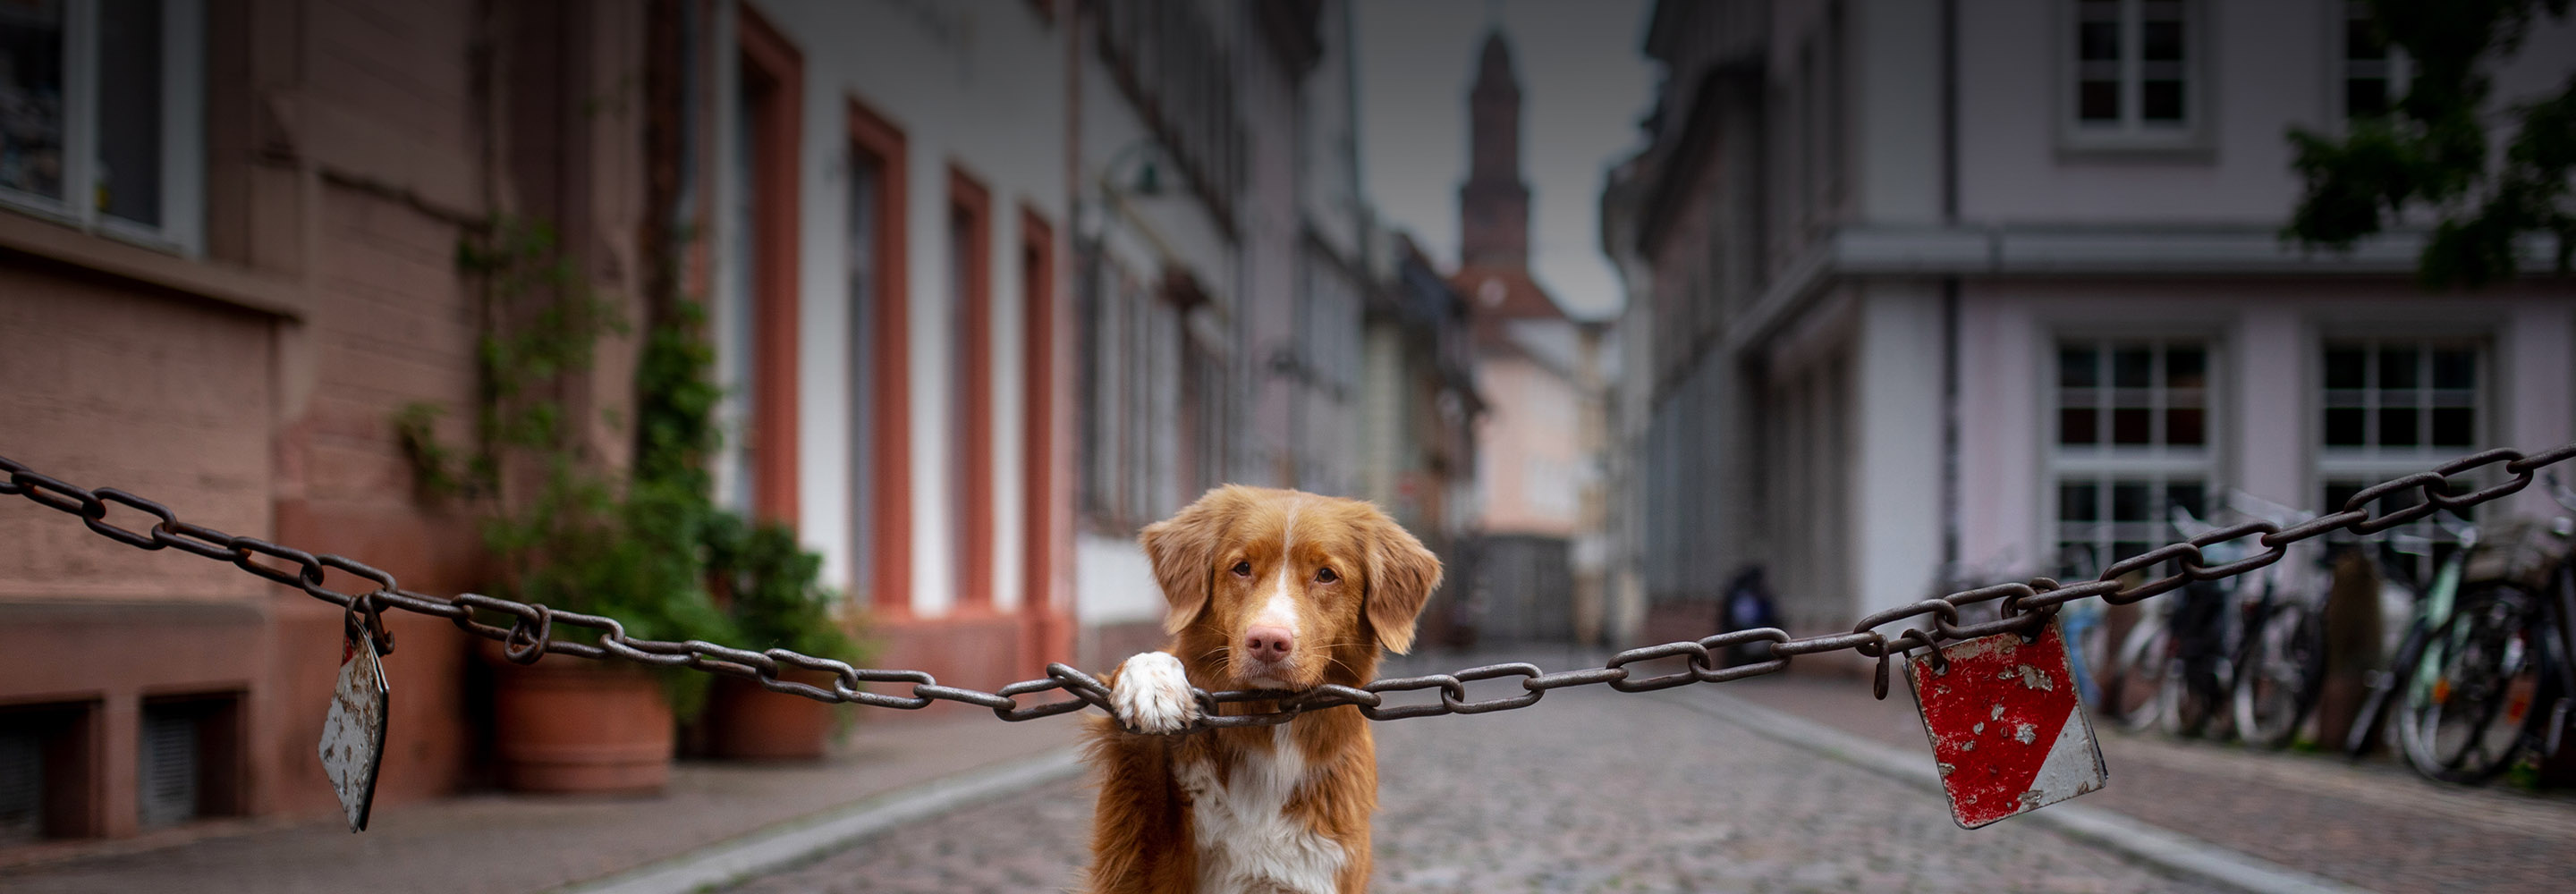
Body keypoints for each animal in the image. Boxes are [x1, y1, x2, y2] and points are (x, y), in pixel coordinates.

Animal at [1076, 489, 1442, 894]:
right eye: (1242, 567)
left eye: (1326, 575)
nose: (1268, 641)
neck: (1270, 723)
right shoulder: (1143, 868)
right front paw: (1152, 682)